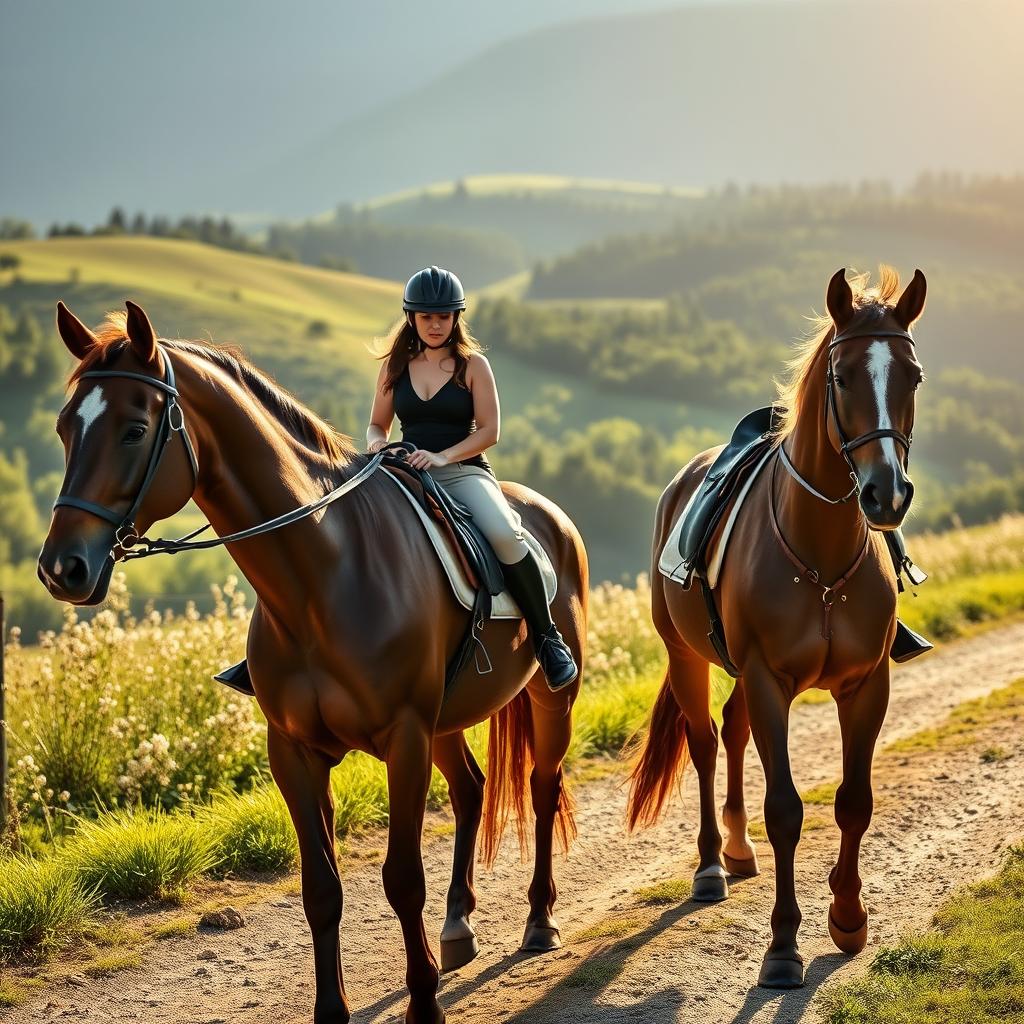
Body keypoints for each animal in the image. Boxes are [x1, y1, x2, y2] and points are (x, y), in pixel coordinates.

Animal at [37, 301, 588, 1024]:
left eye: (133, 430)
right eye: (65, 428)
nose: (62, 569)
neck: (323, 576)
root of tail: (551, 515)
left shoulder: (404, 738)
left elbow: (401, 879)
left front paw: (423, 1003)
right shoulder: (294, 752)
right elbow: (320, 889)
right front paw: (334, 1008)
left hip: (546, 701)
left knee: (542, 787)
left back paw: (539, 922)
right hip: (444, 721)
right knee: (471, 790)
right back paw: (458, 926)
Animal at [626, 267, 927, 988]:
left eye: (913, 375)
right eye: (842, 376)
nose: (886, 494)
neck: (820, 554)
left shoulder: (865, 686)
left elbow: (854, 800)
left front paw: (848, 920)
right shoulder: (770, 682)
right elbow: (787, 810)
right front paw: (783, 947)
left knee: (733, 731)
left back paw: (738, 849)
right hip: (687, 658)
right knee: (707, 743)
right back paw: (712, 865)